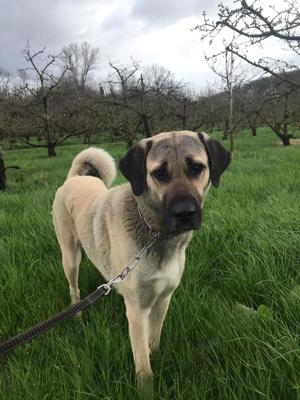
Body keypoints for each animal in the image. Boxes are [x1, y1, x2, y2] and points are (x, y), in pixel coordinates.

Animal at [52, 131, 230, 390]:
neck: (156, 233)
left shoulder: (163, 298)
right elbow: (143, 364)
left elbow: (153, 341)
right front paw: (147, 389)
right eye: (160, 173)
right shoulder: (137, 310)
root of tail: (75, 178)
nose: (185, 213)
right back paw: (76, 315)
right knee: (73, 288)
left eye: (197, 168)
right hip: (70, 256)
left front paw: (156, 355)